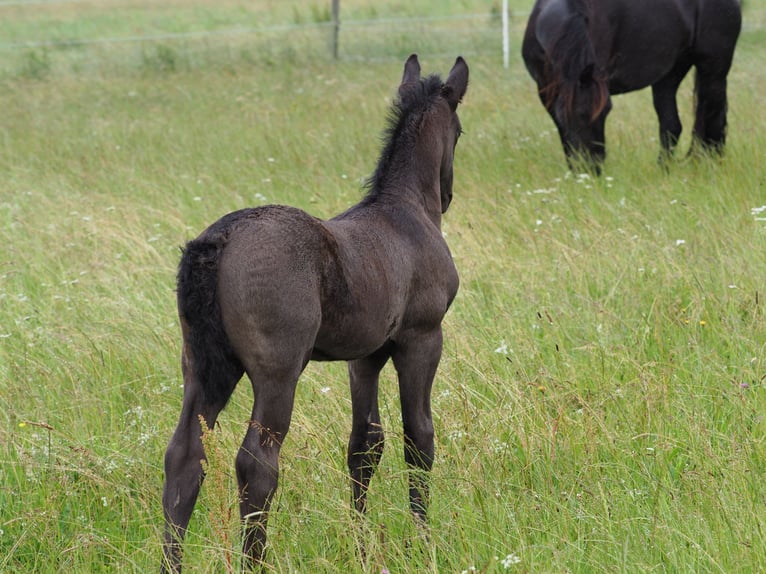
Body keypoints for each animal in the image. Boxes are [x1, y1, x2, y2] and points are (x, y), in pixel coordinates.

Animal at [160, 54, 469, 573]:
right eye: (460, 132)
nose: (447, 195)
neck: (406, 210)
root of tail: (220, 239)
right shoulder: (422, 339)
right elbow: (418, 438)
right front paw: (423, 542)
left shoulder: (365, 356)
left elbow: (365, 444)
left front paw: (361, 545)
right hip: (277, 373)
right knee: (257, 463)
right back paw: (254, 560)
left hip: (204, 367)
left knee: (185, 456)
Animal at [521, 0, 742, 172]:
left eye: (606, 112)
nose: (592, 170)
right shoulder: (546, 91)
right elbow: (563, 132)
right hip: (669, 75)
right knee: (671, 126)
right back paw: (664, 171)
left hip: (713, 69)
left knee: (714, 120)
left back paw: (710, 166)